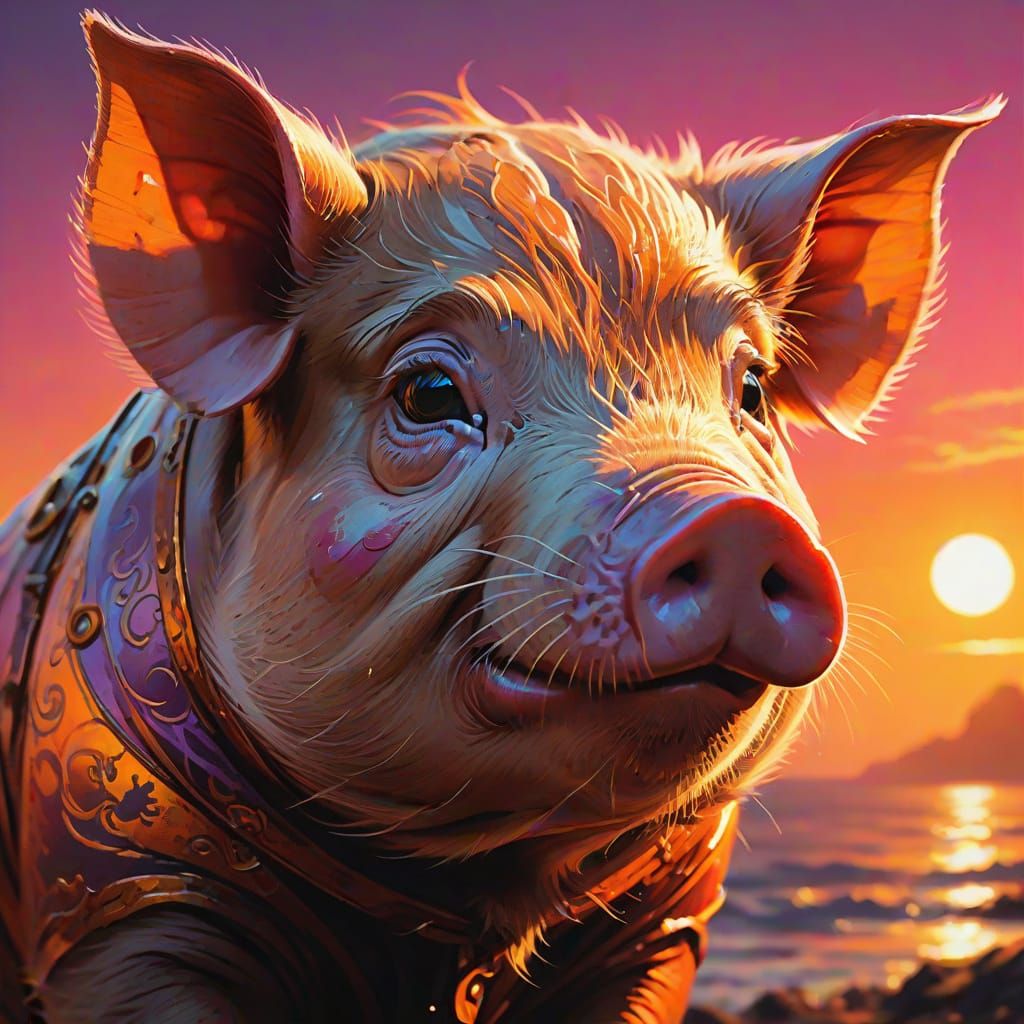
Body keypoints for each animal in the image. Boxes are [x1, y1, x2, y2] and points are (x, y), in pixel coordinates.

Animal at [0, 12, 1001, 1023]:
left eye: (751, 388)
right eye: (429, 392)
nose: (730, 517)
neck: (480, 893)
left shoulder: (664, 925)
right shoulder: (118, 902)